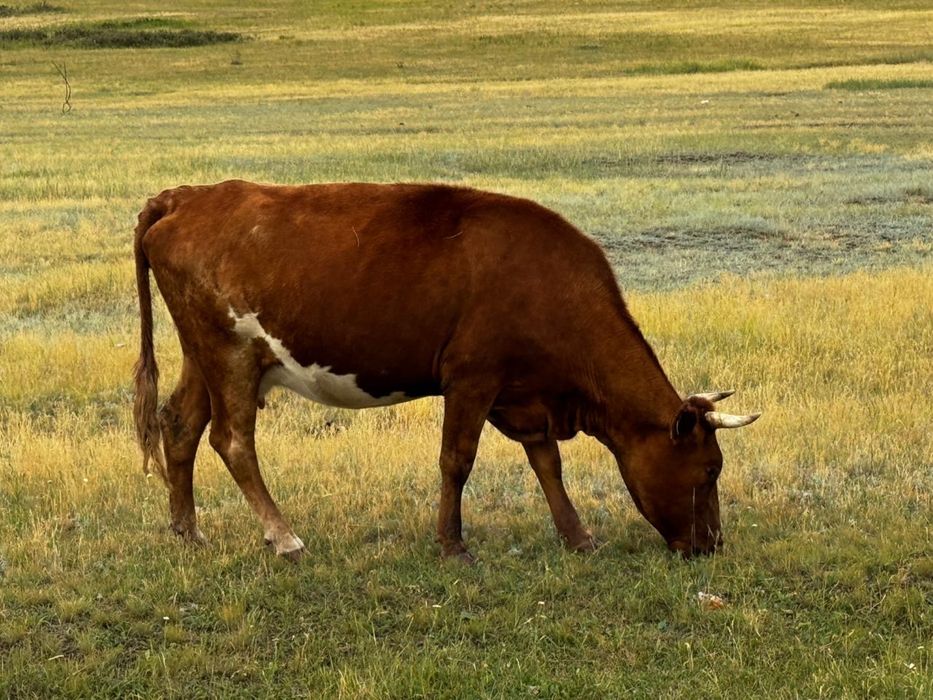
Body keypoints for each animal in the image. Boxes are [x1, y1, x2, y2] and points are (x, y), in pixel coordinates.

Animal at [133, 180, 759, 562]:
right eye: (710, 470)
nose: (712, 545)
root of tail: (185, 197)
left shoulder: (523, 395)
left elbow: (547, 465)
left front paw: (577, 536)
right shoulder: (472, 379)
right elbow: (457, 460)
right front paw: (451, 544)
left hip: (203, 353)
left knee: (179, 426)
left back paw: (187, 531)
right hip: (231, 353)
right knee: (233, 440)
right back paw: (283, 537)